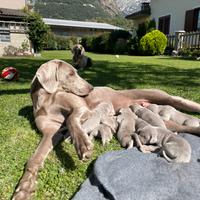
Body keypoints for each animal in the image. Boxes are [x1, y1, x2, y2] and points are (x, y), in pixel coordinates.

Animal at [12, 59, 200, 200]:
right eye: (71, 74)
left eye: (75, 72)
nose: (91, 88)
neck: (47, 99)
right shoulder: (51, 131)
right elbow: (35, 159)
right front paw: (24, 187)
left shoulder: (81, 108)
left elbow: (72, 119)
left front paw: (83, 146)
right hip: (163, 119)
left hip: (163, 96)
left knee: (181, 102)